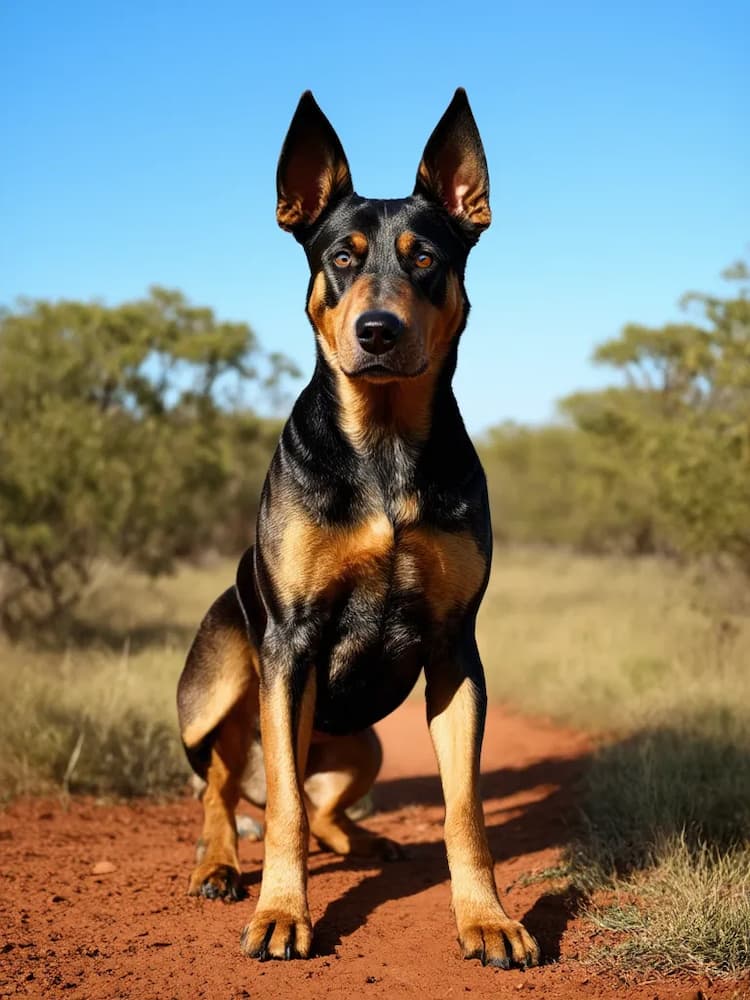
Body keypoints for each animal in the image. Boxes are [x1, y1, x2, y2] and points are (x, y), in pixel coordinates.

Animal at [176, 88, 540, 968]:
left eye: (425, 258)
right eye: (341, 257)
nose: (377, 331)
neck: (382, 445)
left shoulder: (455, 649)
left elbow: (464, 810)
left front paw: (488, 920)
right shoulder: (291, 644)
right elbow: (281, 811)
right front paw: (281, 914)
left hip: (363, 742)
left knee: (326, 811)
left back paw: (371, 843)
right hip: (219, 692)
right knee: (228, 790)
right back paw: (218, 866)